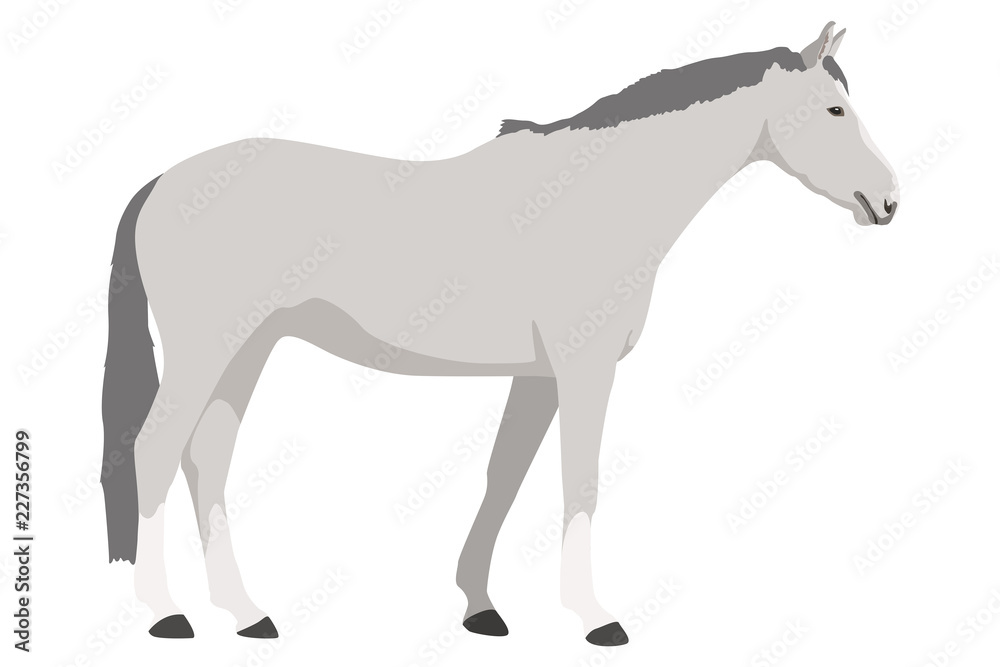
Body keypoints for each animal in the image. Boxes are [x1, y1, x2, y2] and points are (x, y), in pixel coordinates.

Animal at [101, 21, 898, 645]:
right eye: (834, 108)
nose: (888, 201)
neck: (600, 192)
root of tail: (162, 181)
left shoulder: (538, 375)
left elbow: (504, 475)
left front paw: (481, 609)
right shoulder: (583, 367)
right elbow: (580, 480)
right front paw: (595, 618)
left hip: (248, 349)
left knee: (206, 459)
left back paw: (246, 613)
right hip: (208, 350)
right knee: (156, 449)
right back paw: (168, 614)